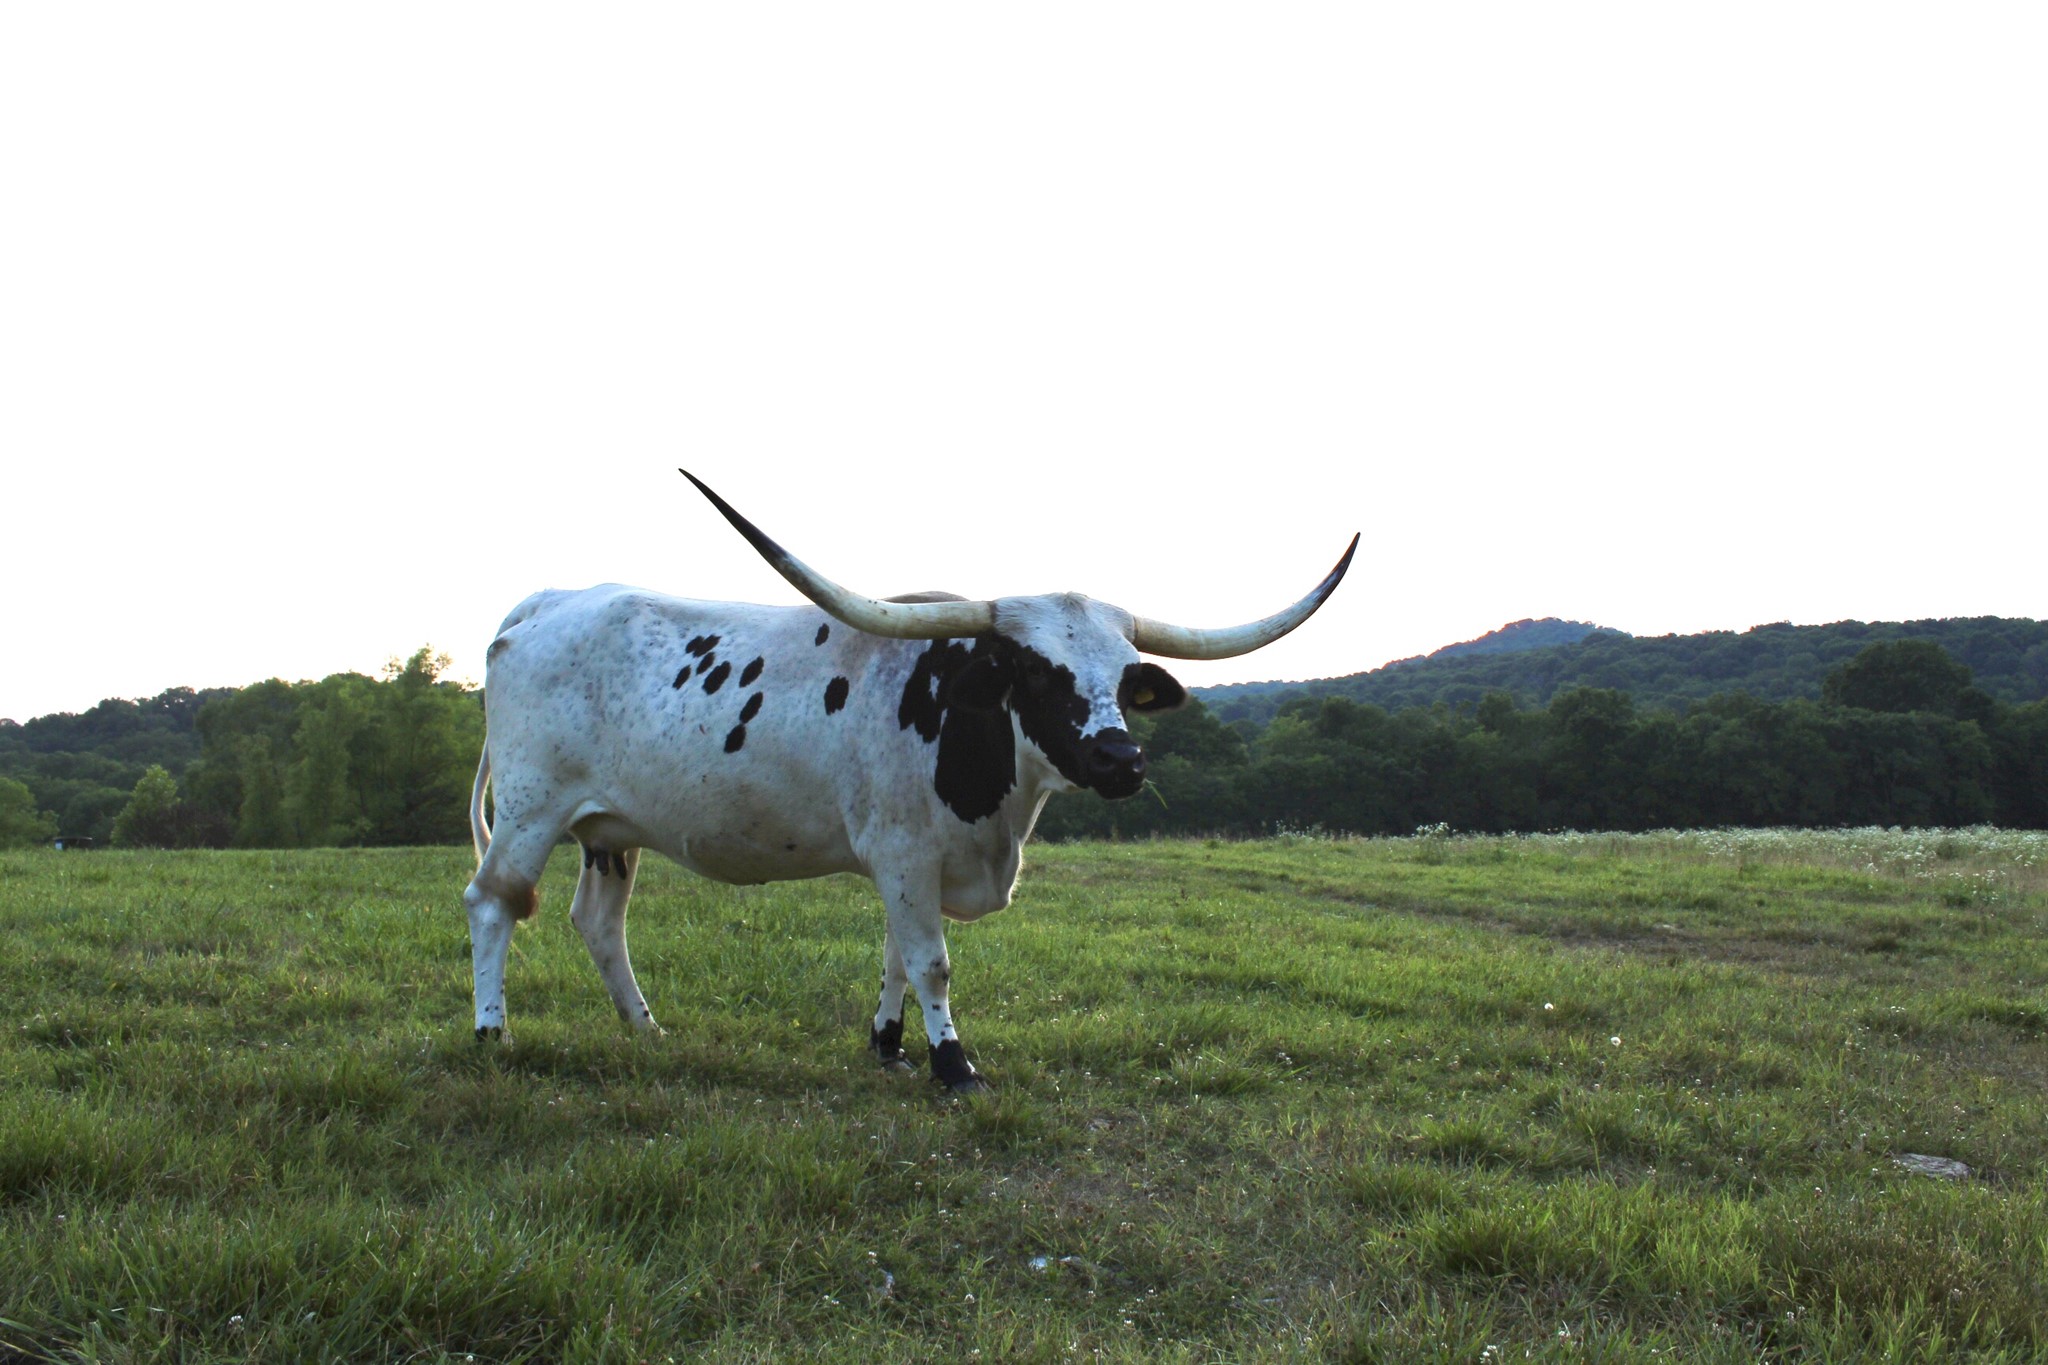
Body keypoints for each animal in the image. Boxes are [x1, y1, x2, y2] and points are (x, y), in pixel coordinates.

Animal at [463, 470, 1357, 1090]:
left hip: (610, 829)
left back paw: (644, 1029)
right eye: (1035, 674)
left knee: (598, 922)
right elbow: (931, 962)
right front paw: (954, 1066)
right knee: (491, 903)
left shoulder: (910, 863)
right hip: (532, 809)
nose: (1121, 761)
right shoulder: (902, 852)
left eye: (1126, 676)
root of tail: (546, 603)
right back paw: (491, 1034)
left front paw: (890, 1046)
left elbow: (896, 955)